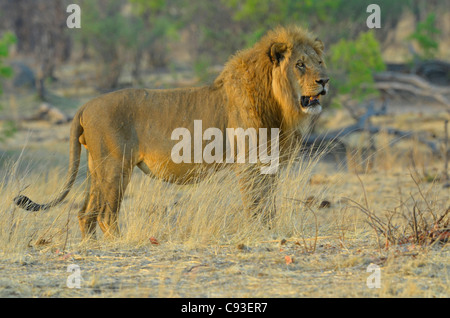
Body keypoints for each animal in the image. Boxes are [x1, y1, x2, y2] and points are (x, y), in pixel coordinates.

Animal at [14, 26, 330, 240]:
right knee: (105, 214)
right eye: (300, 65)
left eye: (319, 62)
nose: (325, 81)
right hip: (116, 167)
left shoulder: (268, 162)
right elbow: (256, 201)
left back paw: (90, 247)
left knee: (85, 214)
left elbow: (268, 202)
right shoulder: (250, 162)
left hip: (97, 168)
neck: (278, 102)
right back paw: (122, 244)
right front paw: (258, 232)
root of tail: (85, 105)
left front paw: (269, 230)